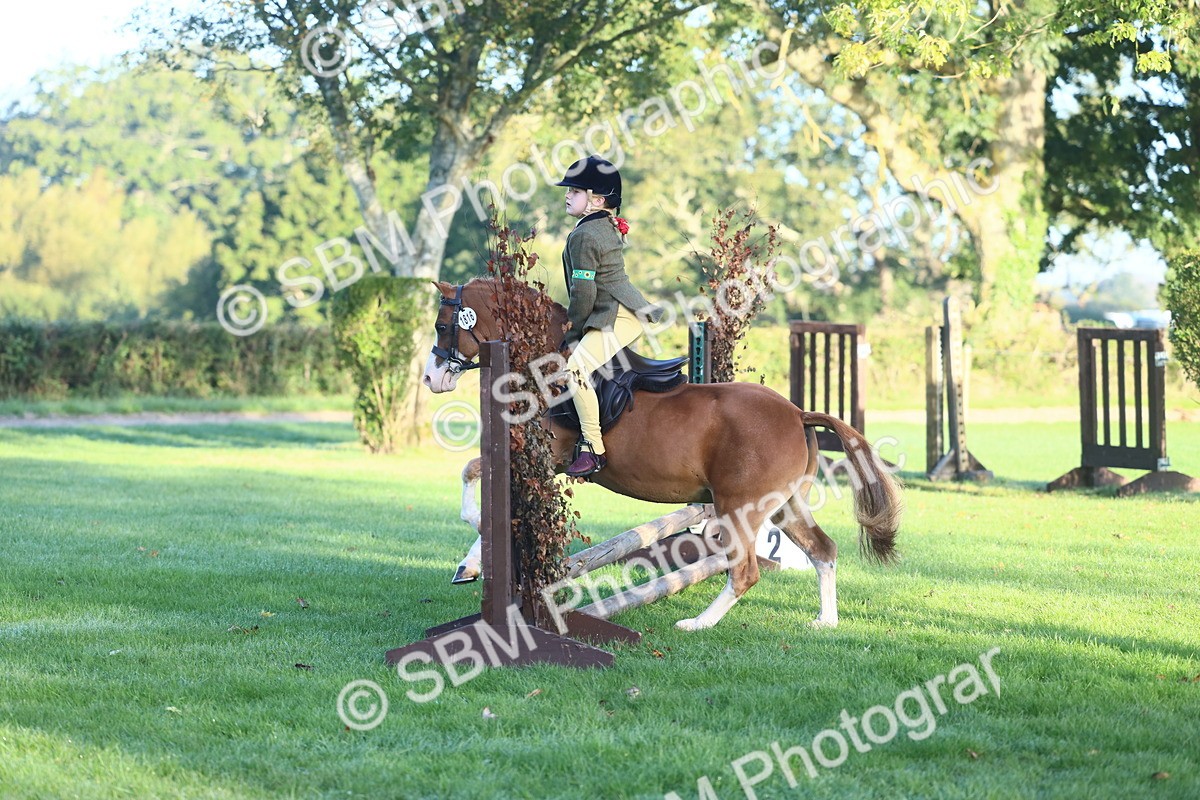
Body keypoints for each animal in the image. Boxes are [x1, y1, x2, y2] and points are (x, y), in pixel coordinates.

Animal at [422, 278, 902, 631]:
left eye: (443, 326)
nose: (431, 379)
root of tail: (796, 412)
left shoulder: (547, 457)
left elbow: (473, 474)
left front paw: (472, 536)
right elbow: (484, 486)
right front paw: (468, 564)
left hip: (739, 507)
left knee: (745, 570)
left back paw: (698, 624)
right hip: (785, 504)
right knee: (823, 550)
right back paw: (826, 620)